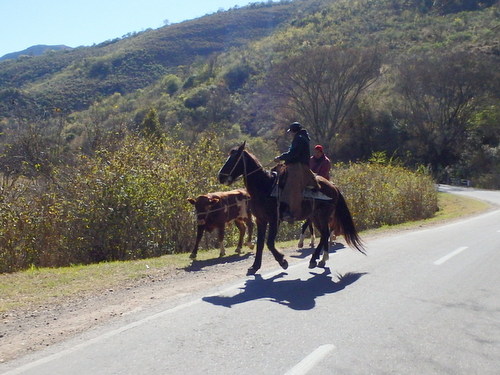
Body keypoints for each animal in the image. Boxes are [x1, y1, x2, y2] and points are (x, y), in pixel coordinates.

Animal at [217, 142, 366, 276]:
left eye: (234, 158)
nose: (220, 177)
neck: (265, 186)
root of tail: (333, 186)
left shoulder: (274, 219)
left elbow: (269, 242)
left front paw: (282, 261)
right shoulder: (261, 220)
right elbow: (260, 243)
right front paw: (255, 266)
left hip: (322, 216)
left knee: (325, 234)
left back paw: (315, 259)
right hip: (315, 217)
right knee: (324, 234)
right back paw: (319, 260)